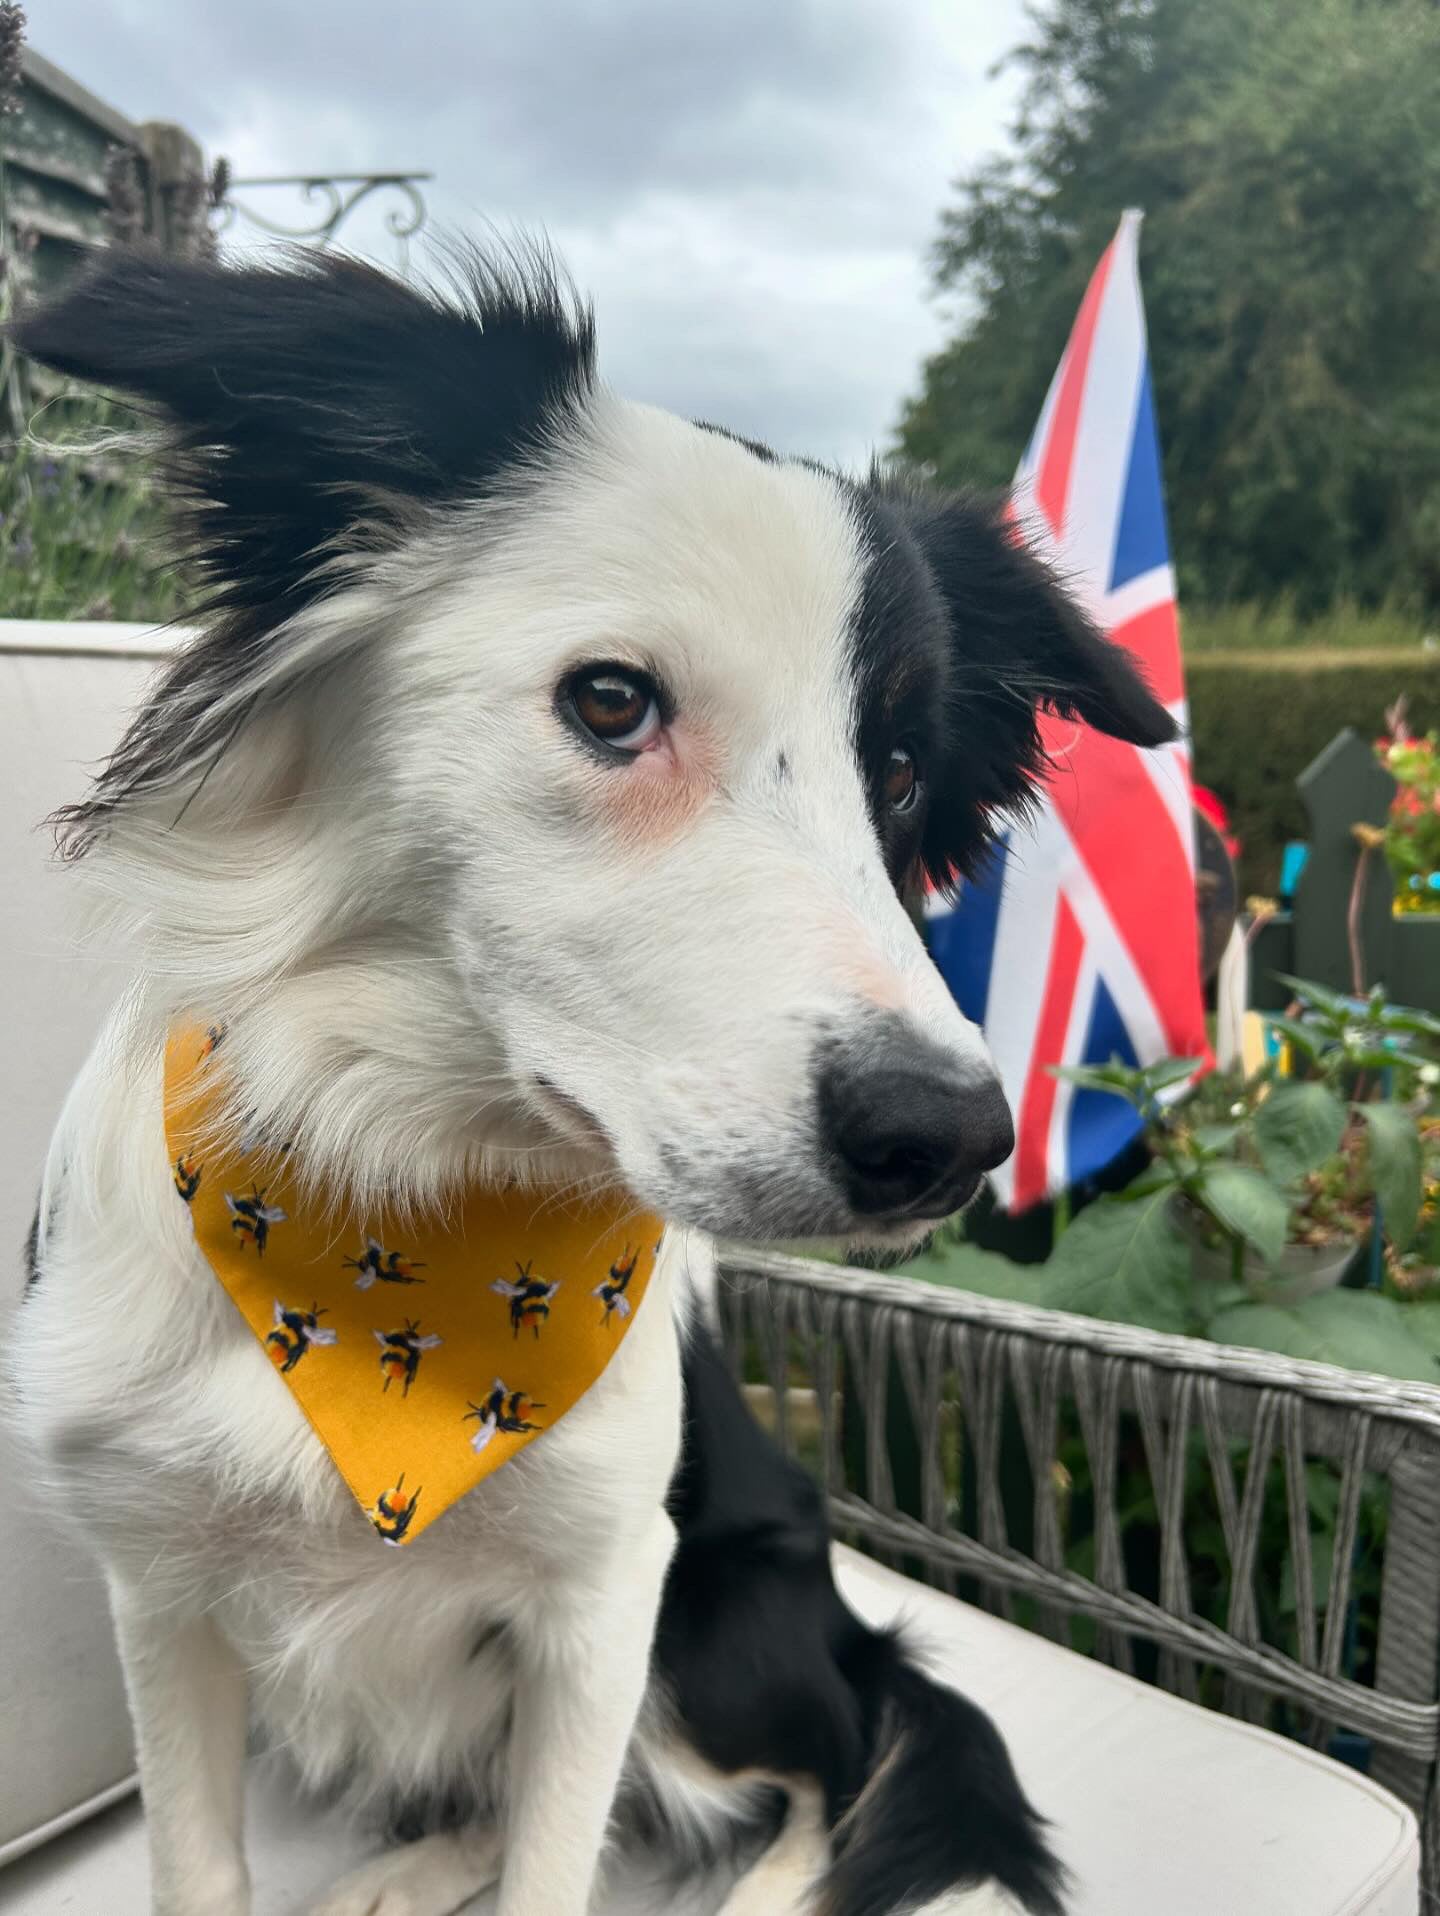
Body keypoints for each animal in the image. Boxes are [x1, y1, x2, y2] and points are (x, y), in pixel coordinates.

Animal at [8, 243, 1171, 1916]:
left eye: (896, 775)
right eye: (612, 701)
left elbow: (573, 1852)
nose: (951, 1140)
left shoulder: (605, 1598)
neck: (398, 1208)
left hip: (724, 1626)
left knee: (826, 1765)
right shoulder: (162, 1597)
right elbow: (204, 1868)